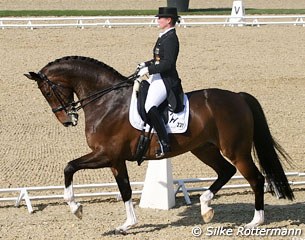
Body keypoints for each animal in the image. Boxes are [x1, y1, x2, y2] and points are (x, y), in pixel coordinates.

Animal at [25, 55, 294, 234]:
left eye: (47, 92)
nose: (67, 120)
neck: (106, 101)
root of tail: (238, 97)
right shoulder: (115, 160)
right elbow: (125, 190)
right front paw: (127, 224)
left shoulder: (106, 154)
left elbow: (69, 167)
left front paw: (76, 208)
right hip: (204, 148)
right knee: (225, 171)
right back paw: (205, 207)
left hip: (236, 150)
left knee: (256, 178)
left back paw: (255, 221)